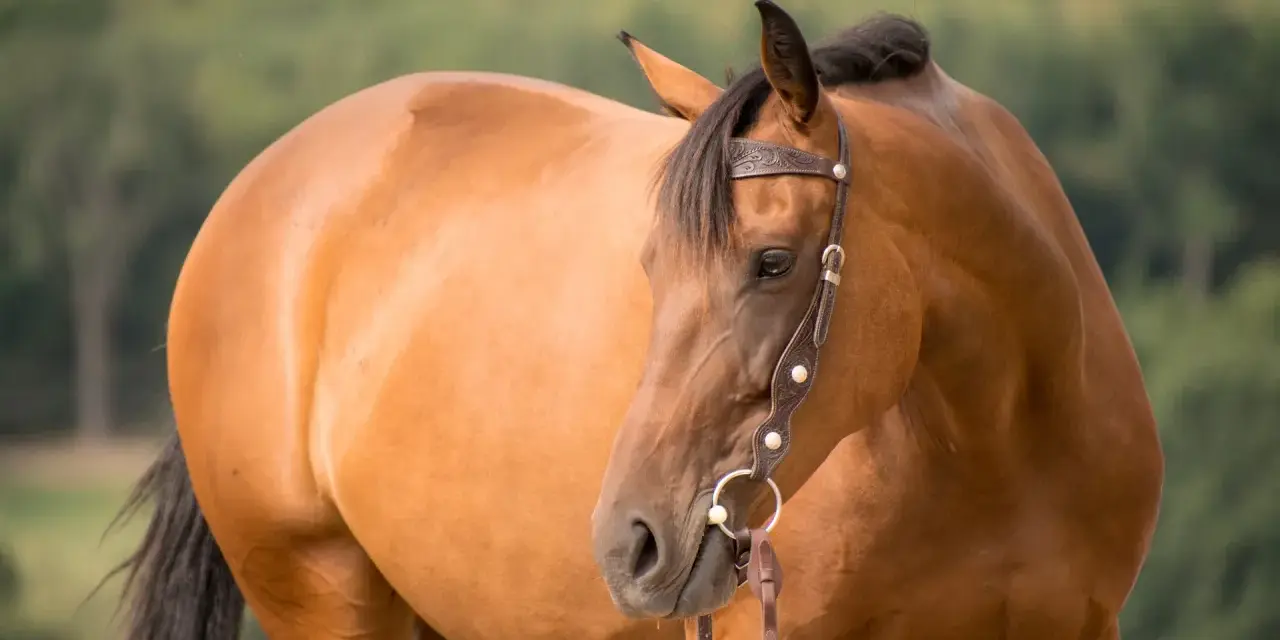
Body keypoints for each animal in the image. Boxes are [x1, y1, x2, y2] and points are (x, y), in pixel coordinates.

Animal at [106, 2, 1164, 638]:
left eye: (772, 262)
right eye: (653, 268)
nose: (632, 543)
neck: (998, 447)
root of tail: (259, 185)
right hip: (320, 592)